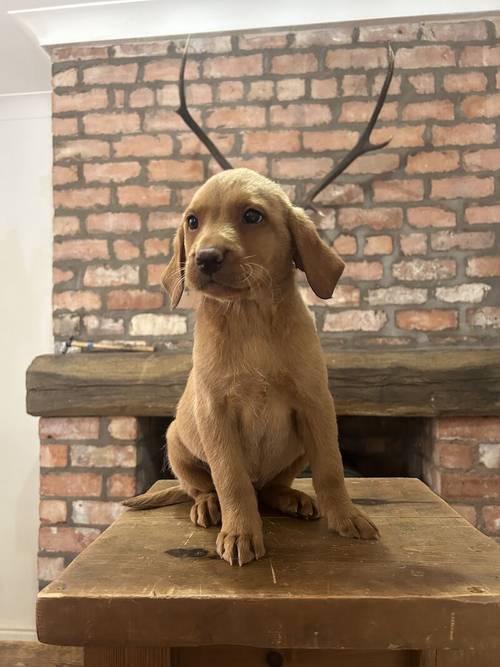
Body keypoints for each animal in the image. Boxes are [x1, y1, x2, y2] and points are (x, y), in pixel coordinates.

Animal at [125, 167, 378, 564]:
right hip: (176, 442)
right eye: (192, 222)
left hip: (296, 448)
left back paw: (290, 498)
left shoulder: (316, 405)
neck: (249, 317)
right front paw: (241, 532)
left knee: (269, 487)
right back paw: (209, 506)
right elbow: (231, 480)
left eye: (252, 216)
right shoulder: (215, 412)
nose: (205, 257)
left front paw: (346, 516)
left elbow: (331, 469)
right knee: (203, 487)